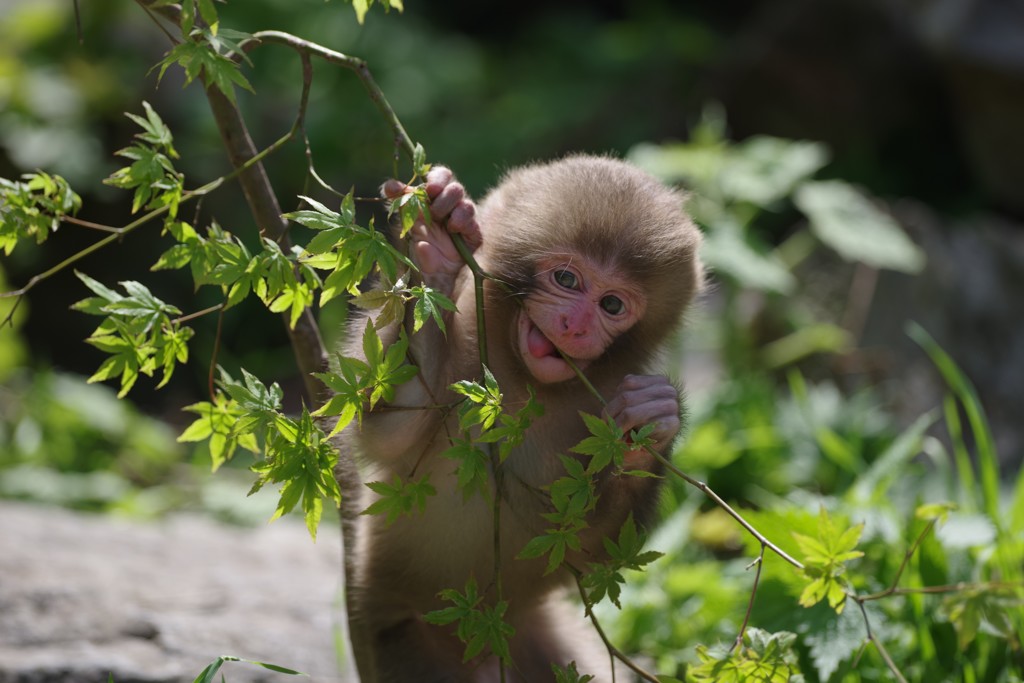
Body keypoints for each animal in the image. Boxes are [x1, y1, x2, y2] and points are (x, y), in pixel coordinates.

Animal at [335, 156, 704, 683]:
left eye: (612, 305)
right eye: (567, 281)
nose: (576, 327)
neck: (520, 378)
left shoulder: (607, 390)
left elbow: (589, 550)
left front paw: (651, 422)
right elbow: (387, 431)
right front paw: (436, 248)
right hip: (407, 640)